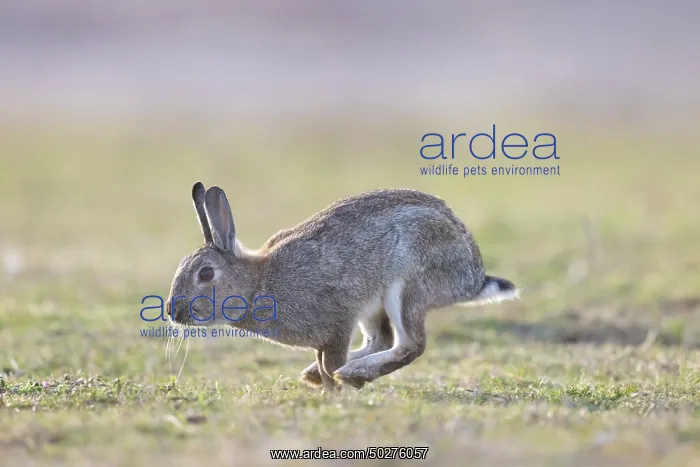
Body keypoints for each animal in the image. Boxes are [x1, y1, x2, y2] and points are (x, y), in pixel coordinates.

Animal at [166, 181, 519, 391]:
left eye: (206, 274)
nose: (172, 311)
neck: (256, 284)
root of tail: (473, 275)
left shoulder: (337, 321)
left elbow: (331, 362)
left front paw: (334, 390)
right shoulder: (334, 329)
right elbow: (326, 360)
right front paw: (323, 384)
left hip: (406, 286)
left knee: (411, 344)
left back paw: (354, 375)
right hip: (374, 304)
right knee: (382, 339)